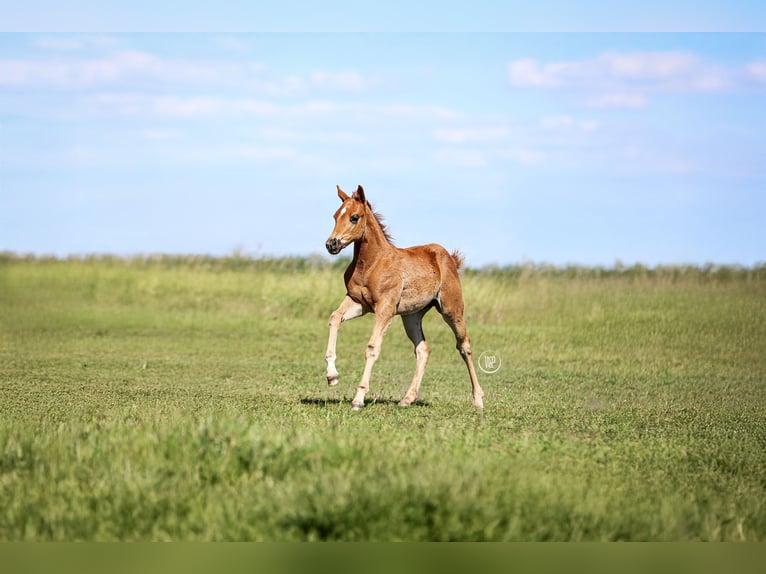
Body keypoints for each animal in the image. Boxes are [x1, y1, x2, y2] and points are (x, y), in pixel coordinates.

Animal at [324, 184, 484, 411]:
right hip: (411, 316)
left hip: (451, 309)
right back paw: (407, 399)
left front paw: (358, 399)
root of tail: (450, 258)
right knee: (423, 349)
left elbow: (372, 348)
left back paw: (478, 399)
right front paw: (332, 376)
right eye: (335, 215)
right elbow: (334, 318)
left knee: (464, 346)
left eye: (354, 217)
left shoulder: (385, 308)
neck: (371, 263)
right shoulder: (358, 303)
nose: (332, 244)